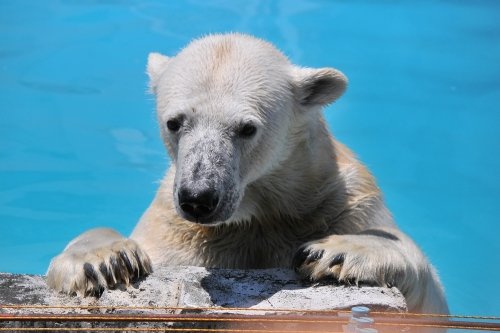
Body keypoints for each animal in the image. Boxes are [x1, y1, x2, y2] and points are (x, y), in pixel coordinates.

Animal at [47, 33, 450, 314]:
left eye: (247, 128)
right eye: (175, 122)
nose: (198, 198)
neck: (259, 214)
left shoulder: (344, 204)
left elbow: (431, 301)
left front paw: (336, 252)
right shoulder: (176, 233)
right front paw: (104, 261)